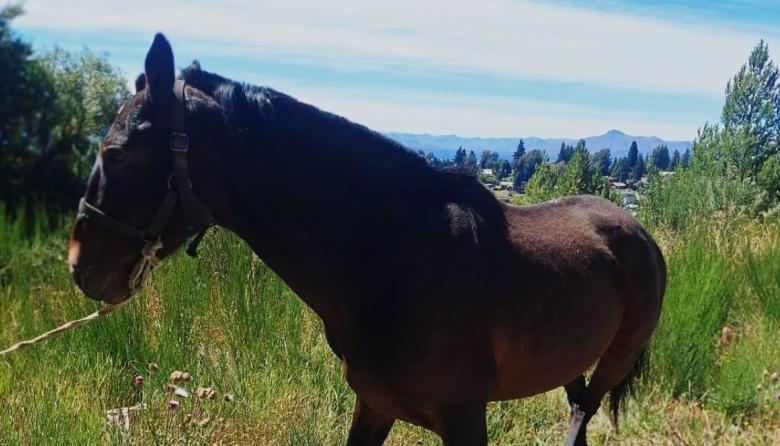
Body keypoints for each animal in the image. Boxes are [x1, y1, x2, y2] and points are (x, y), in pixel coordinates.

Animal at [68, 34, 665, 446]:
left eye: (116, 153)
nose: (79, 263)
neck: (391, 259)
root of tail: (636, 231)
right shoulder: (374, 404)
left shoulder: (464, 418)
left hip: (616, 358)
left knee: (585, 409)